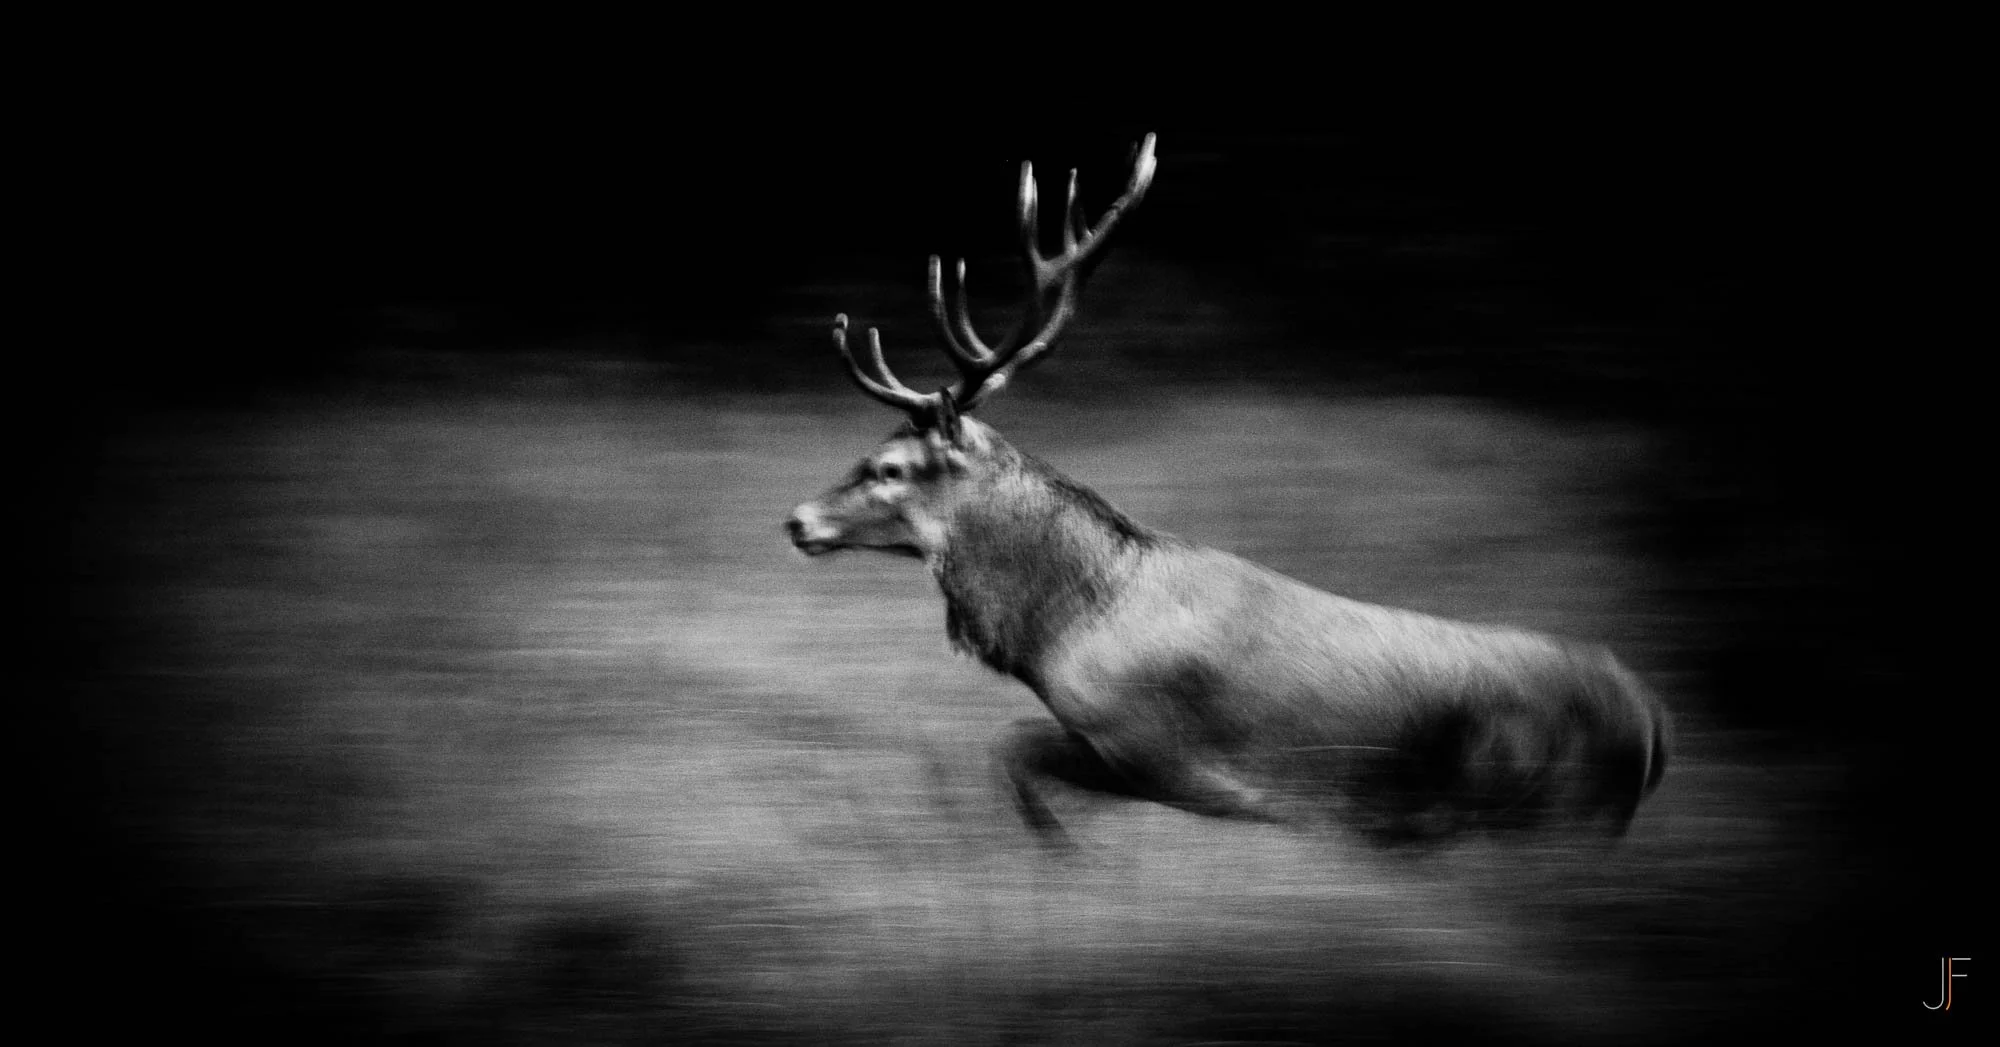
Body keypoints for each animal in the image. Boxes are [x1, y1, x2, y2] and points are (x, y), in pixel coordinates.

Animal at [785, 133, 1670, 850]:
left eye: (888, 466)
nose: (797, 519)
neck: (1063, 630)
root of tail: (1653, 726)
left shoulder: (1162, 752)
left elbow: (1015, 750)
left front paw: (1068, 861)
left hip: (1552, 814)